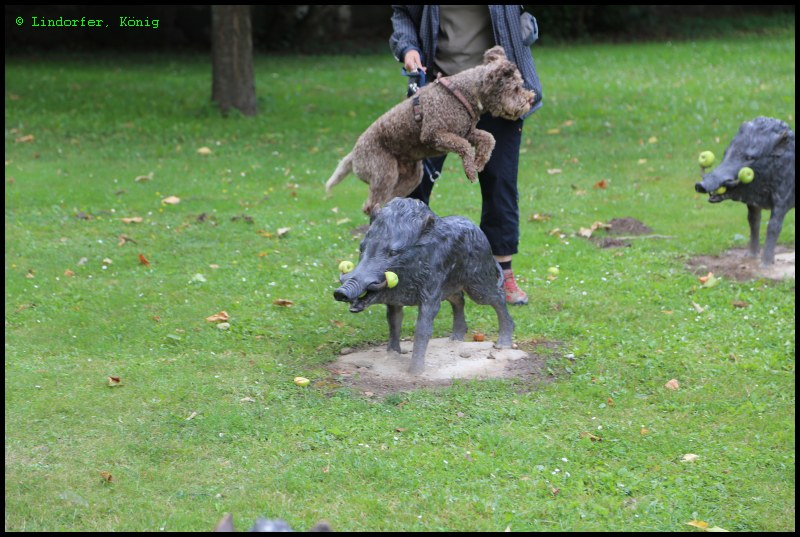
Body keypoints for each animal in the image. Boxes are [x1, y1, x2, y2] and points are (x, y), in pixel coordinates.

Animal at [325, 46, 535, 214]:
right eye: (516, 88)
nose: (531, 99)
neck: (464, 93)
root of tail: (353, 155)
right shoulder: (435, 134)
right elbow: (465, 147)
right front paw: (470, 170)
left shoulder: (466, 132)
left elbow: (489, 138)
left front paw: (480, 162)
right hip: (385, 173)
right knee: (370, 205)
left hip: (412, 177)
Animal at [333, 197, 514, 375]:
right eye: (362, 247)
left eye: (393, 252)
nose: (340, 293)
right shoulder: (394, 300)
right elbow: (393, 321)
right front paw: (393, 354)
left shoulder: (430, 293)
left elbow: (422, 328)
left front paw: (415, 372)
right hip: (451, 287)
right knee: (459, 300)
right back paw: (455, 339)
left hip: (478, 282)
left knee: (498, 297)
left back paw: (502, 344)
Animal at [694, 116, 795, 266]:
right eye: (725, 152)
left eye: (749, 158)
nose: (701, 185)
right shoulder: (752, 202)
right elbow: (753, 221)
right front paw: (751, 255)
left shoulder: (783, 198)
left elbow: (773, 226)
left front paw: (765, 264)